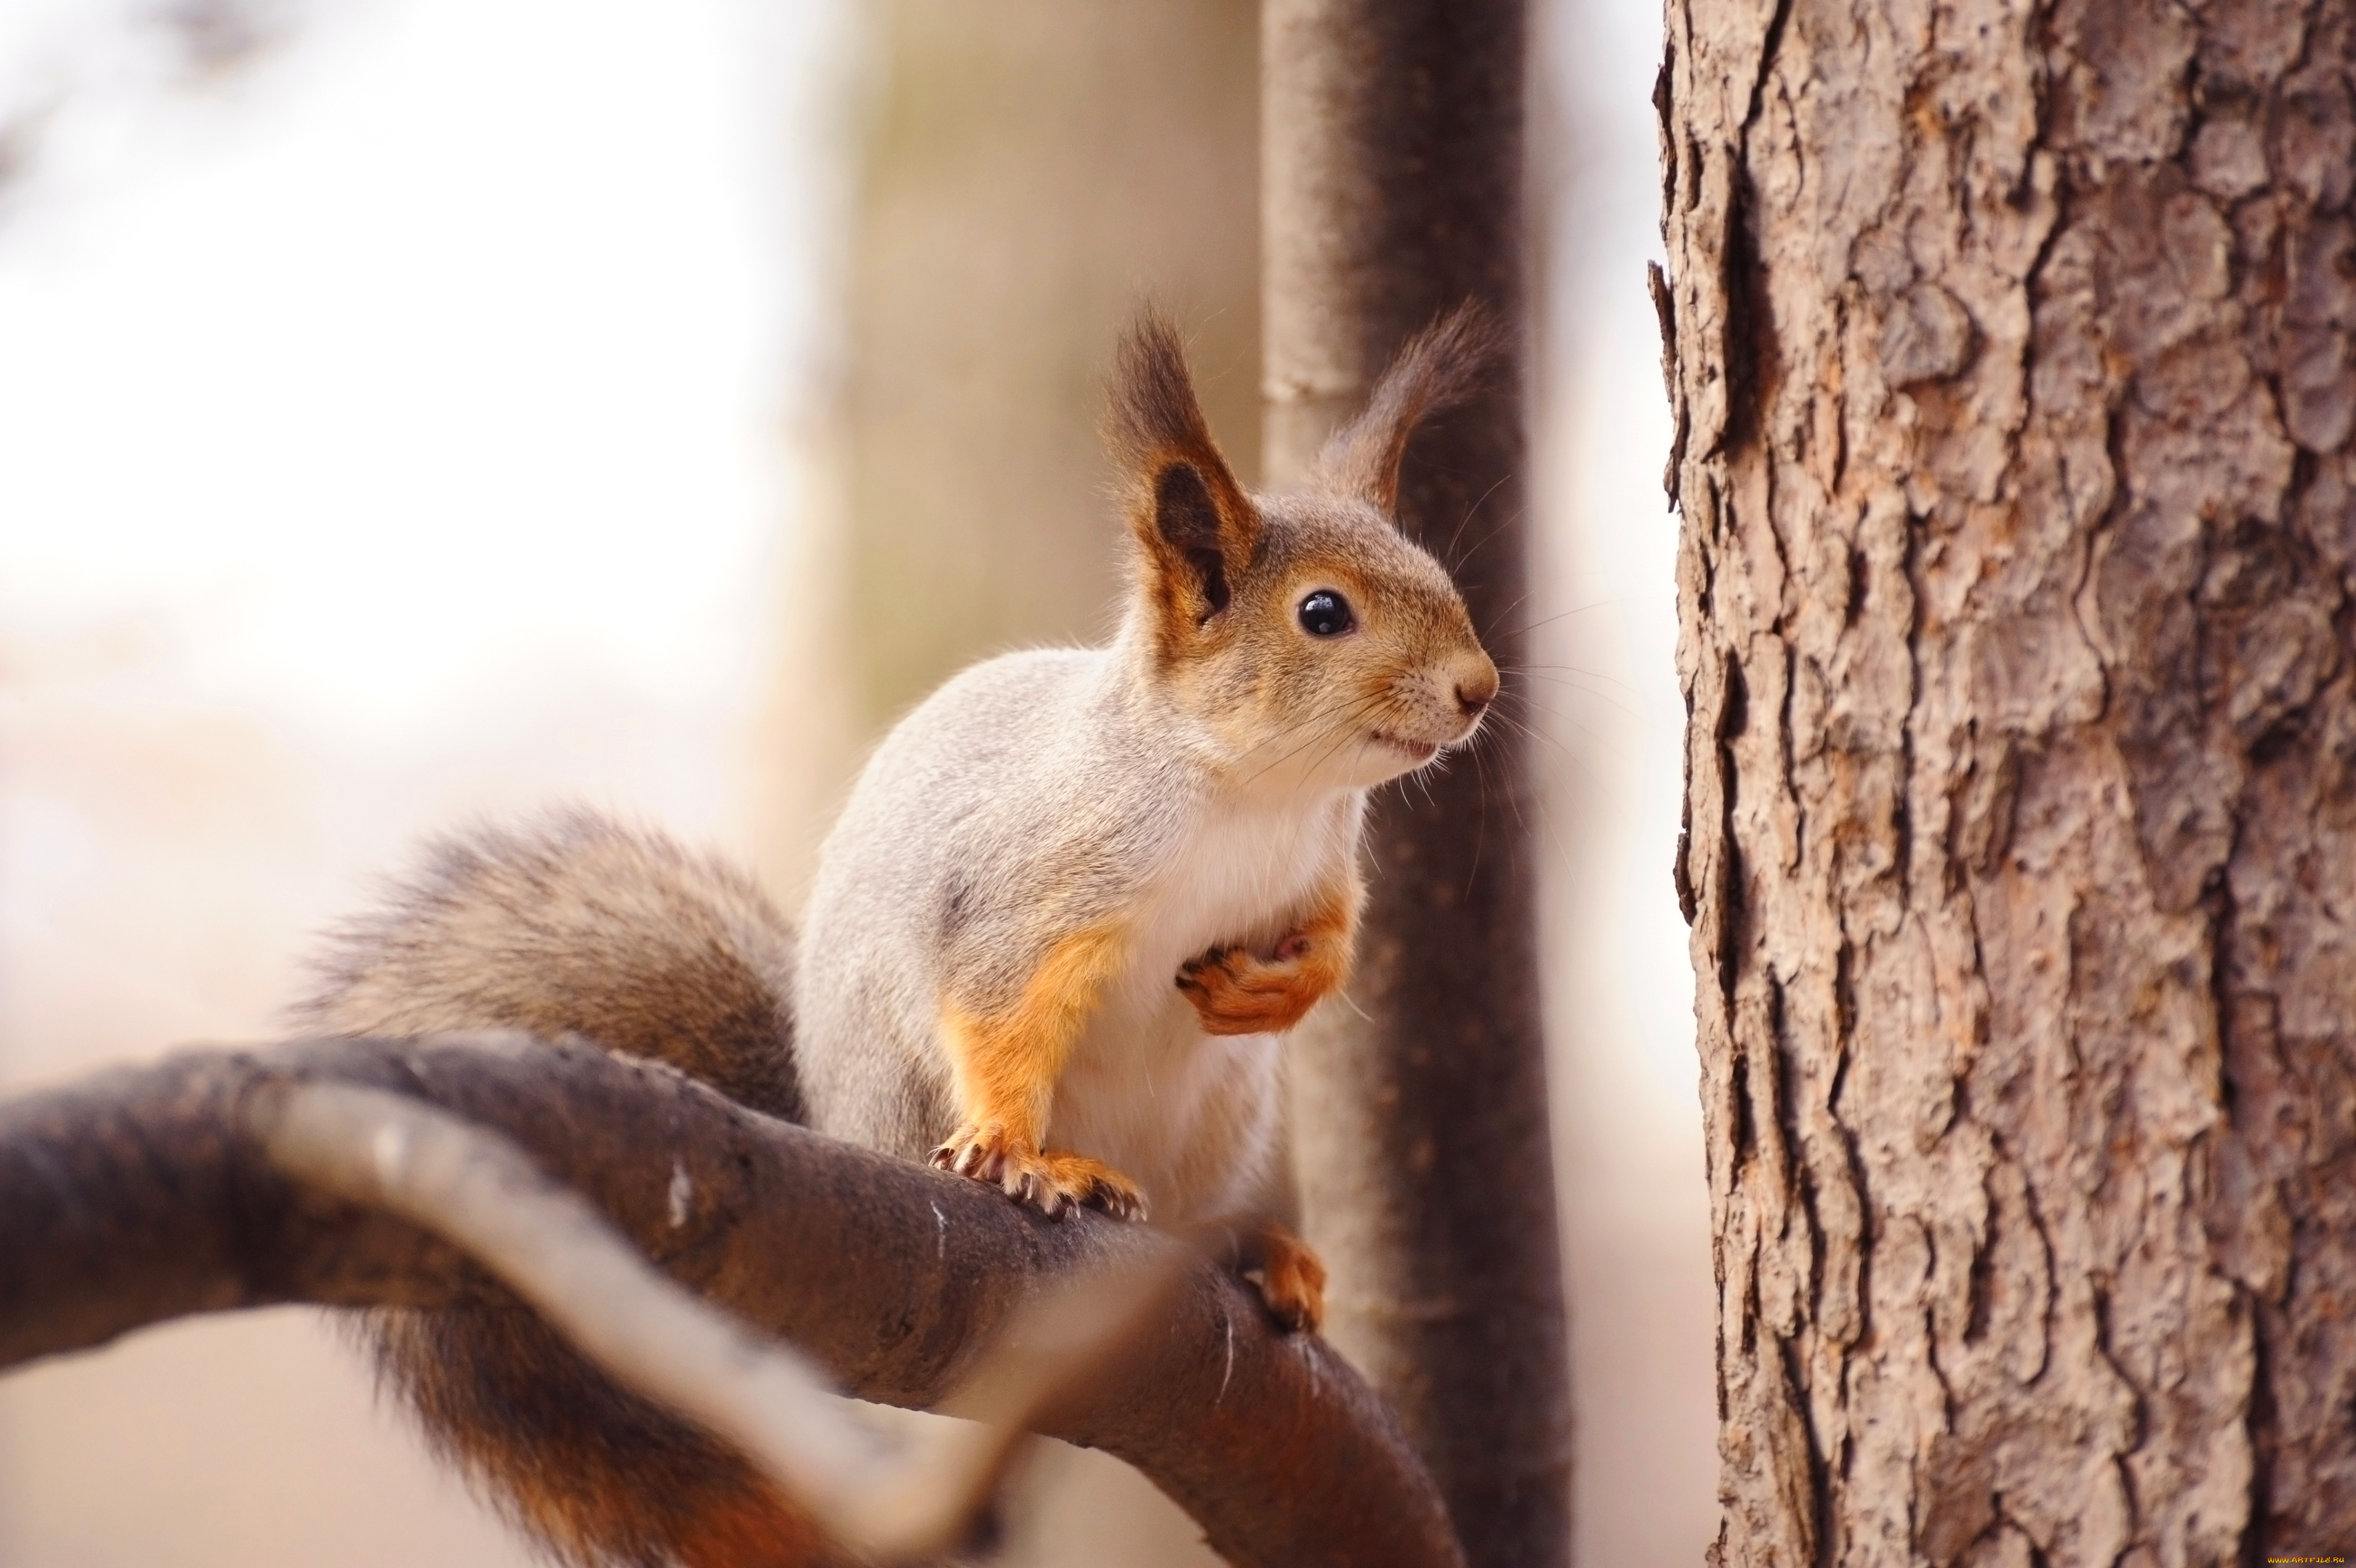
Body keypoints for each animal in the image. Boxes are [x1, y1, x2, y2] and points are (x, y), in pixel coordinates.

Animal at [294, 308, 1498, 1563]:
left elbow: (1333, 940)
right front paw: (1017, 1150)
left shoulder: (1323, 867)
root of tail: (832, 1119)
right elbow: (998, 1003)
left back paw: (1250, 1245)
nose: (1482, 686)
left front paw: (1275, 991)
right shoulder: (1036, 885)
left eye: (1441, 578)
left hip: (1222, 1116)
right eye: (1323, 613)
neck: (1257, 795)